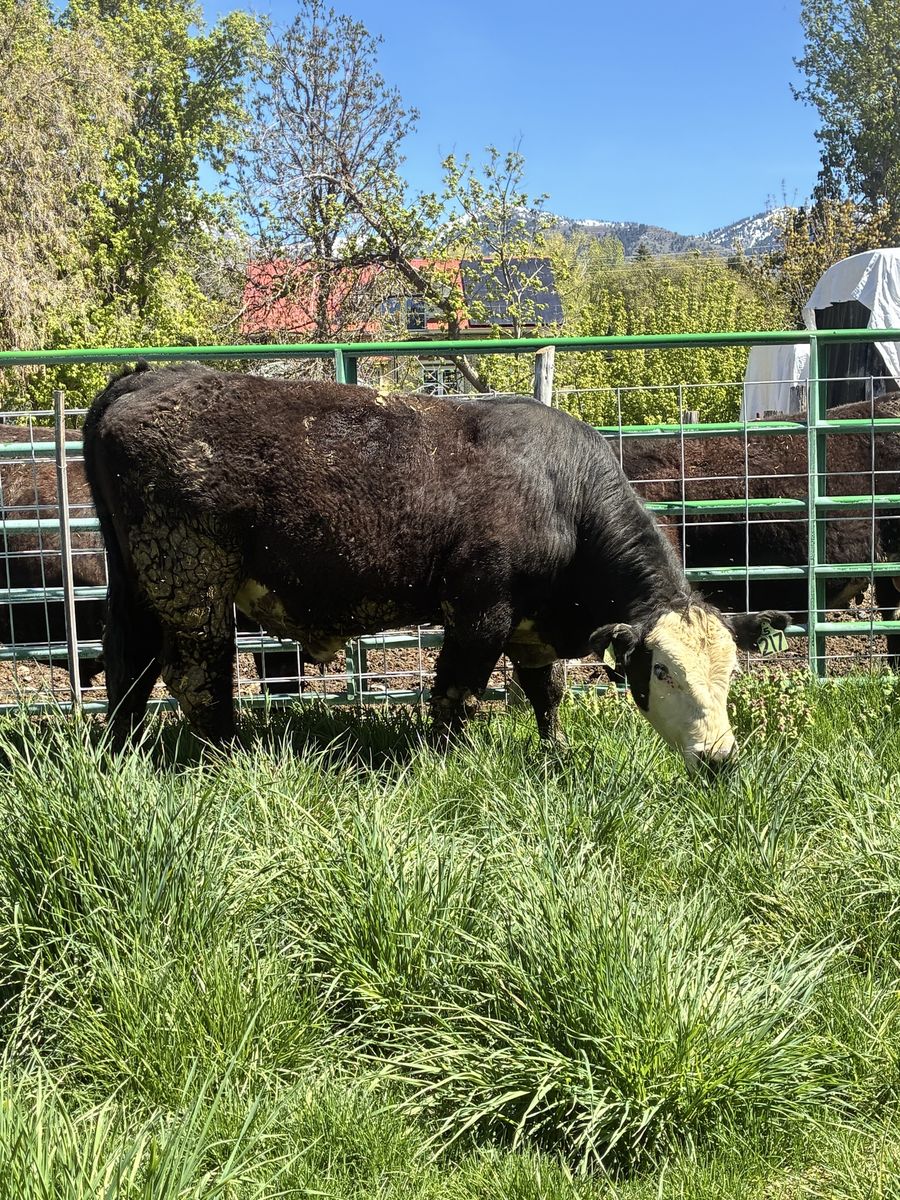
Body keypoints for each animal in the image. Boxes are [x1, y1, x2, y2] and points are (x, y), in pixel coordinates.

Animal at [82, 363, 790, 768]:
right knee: (197, 676)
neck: (559, 492)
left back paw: (120, 751)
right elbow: (455, 695)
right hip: (191, 580)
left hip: (138, 579)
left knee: (128, 661)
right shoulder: (481, 613)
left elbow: (546, 693)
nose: (721, 758)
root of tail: (145, 375)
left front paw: (556, 755)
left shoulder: (529, 627)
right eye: (662, 671)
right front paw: (444, 762)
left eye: (731, 673)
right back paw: (225, 759)